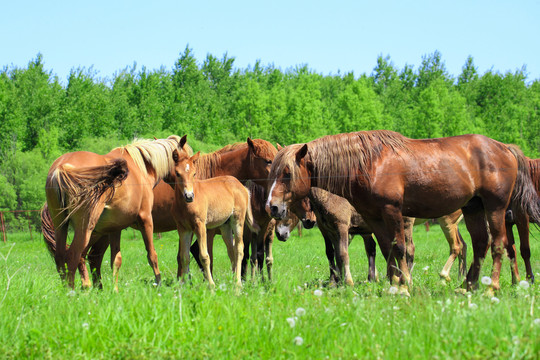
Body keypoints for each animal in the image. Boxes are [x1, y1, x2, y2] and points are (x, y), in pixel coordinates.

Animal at [44, 134, 185, 288]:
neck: (141, 168)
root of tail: (60, 167)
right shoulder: (146, 219)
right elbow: (152, 255)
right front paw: (159, 283)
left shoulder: (115, 228)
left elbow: (116, 260)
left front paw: (115, 290)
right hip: (86, 228)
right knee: (73, 256)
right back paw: (74, 290)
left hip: (62, 226)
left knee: (62, 257)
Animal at [172, 150, 258, 288]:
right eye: (177, 173)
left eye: (194, 173)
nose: (189, 196)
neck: (185, 205)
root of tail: (242, 187)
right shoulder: (183, 228)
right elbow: (184, 257)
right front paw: (183, 286)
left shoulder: (200, 226)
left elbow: (204, 256)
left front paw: (211, 285)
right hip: (225, 226)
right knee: (231, 251)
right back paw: (232, 280)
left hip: (238, 220)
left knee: (239, 249)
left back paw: (238, 283)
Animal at [266, 131, 540, 294]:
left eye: (287, 173)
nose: (273, 207)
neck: (368, 163)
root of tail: (505, 148)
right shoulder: (374, 218)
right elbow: (386, 250)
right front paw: (393, 284)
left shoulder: (391, 212)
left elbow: (399, 249)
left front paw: (404, 285)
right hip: (473, 207)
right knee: (480, 243)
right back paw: (467, 286)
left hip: (495, 208)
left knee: (498, 245)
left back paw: (492, 287)